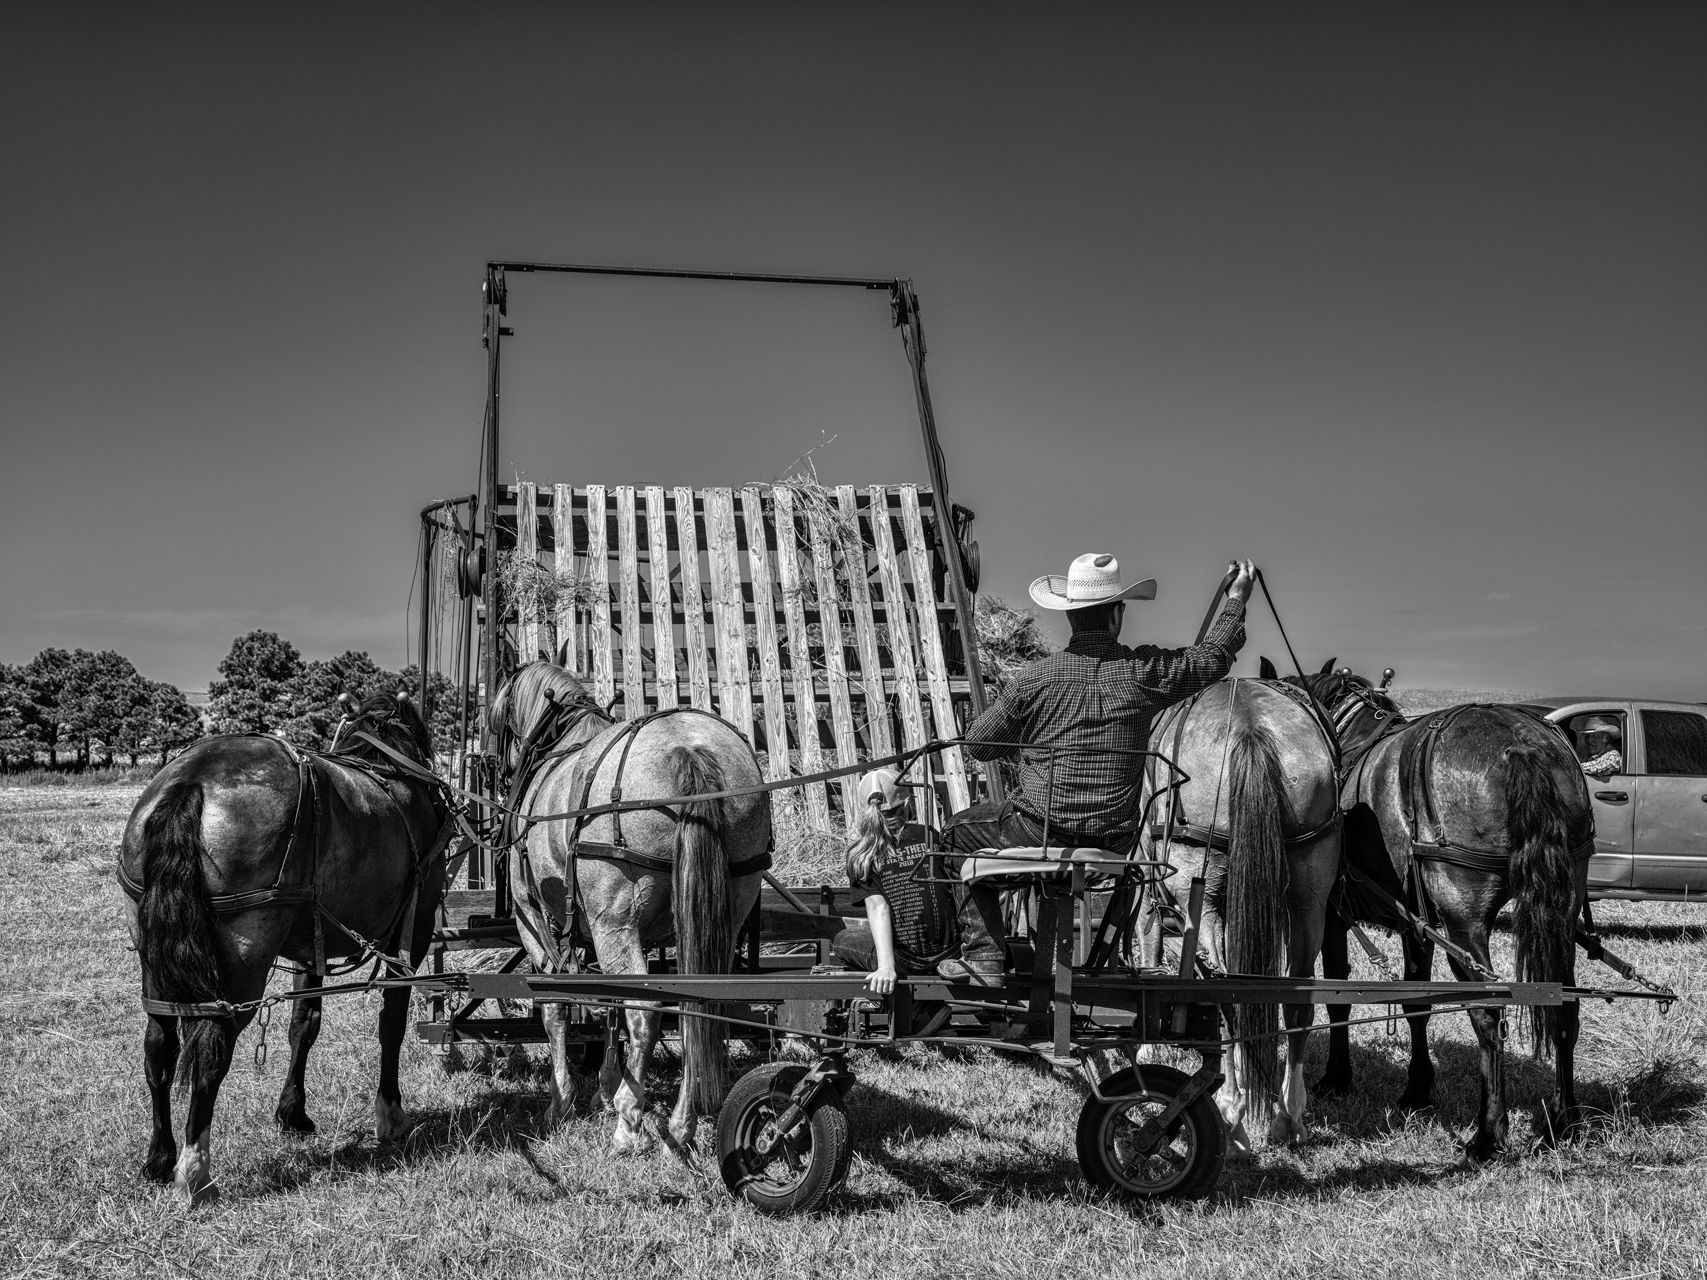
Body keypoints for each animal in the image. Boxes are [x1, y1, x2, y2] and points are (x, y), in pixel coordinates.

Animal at [122, 692, 454, 1201]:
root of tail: (190, 781)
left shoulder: (306, 942)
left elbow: (304, 1024)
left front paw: (292, 1113)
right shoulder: (410, 939)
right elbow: (392, 1023)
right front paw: (391, 1114)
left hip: (153, 951)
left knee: (159, 1045)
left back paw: (159, 1159)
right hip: (244, 958)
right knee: (213, 1049)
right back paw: (194, 1170)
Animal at [488, 665, 768, 1160]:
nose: (498, 769)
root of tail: (689, 748)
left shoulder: (534, 919)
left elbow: (558, 1006)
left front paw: (563, 1101)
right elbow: (608, 1004)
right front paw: (604, 1085)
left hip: (614, 919)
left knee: (647, 1009)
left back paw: (629, 1122)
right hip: (727, 908)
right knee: (699, 1006)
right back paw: (679, 1125)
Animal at [1140, 682, 1338, 1153]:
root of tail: (1249, 725)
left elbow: (1148, 948)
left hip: (1204, 892)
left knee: (1225, 994)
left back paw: (1232, 1116)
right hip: (1309, 893)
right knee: (1297, 998)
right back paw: (1289, 1115)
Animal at [1263, 662, 1590, 1160]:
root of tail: (1522, 746)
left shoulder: (1331, 915)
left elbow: (1337, 994)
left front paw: (1336, 1078)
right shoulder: (1415, 925)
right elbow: (1416, 1000)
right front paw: (1417, 1089)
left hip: (1464, 924)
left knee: (1488, 1015)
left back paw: (1487, 1134)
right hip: (1563, 910)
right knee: (1564, 1006)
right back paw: (1564, 1119)